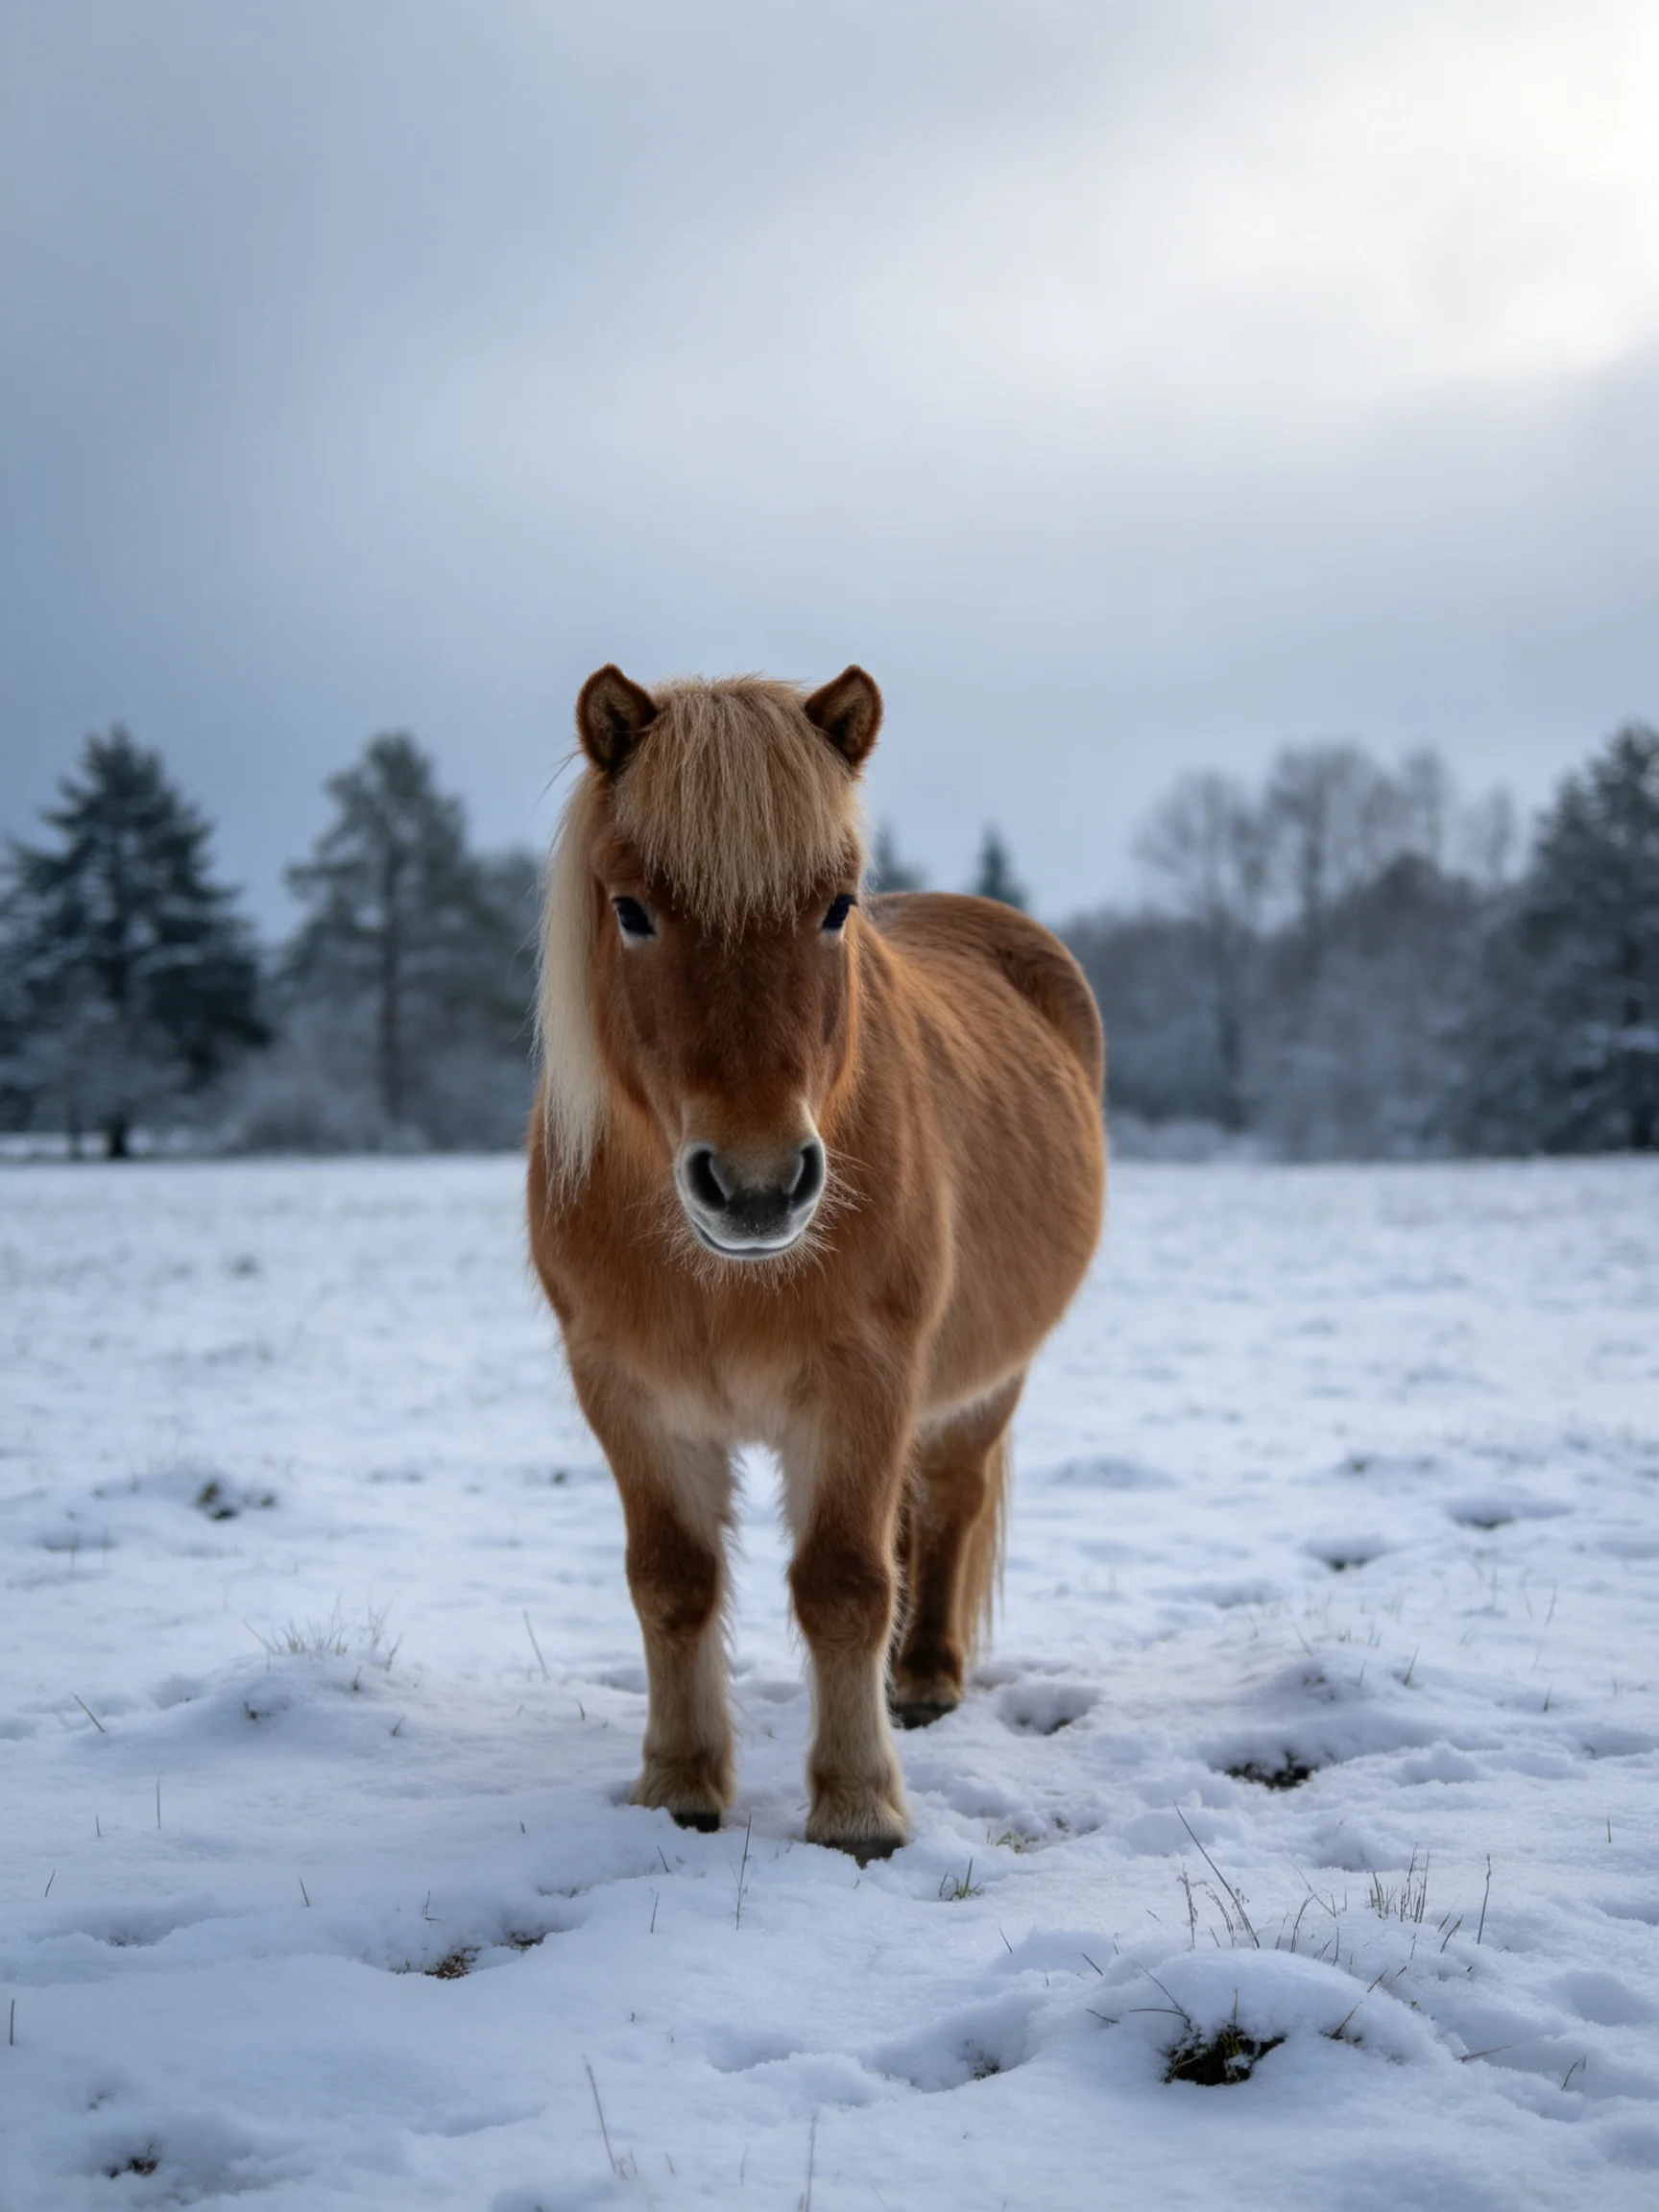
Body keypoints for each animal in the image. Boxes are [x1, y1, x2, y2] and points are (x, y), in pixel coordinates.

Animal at [527, 664, 1105, 1858]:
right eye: (632, 909)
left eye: (836, 905)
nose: (755, 1185)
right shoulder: (627, 1395)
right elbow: (672, 1583)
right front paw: (682, 1785)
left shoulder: (865, 1383)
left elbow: (843, 1585)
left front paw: (857, 1807)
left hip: (982, 1385)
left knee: (948, 1503)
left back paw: (922, 1681)